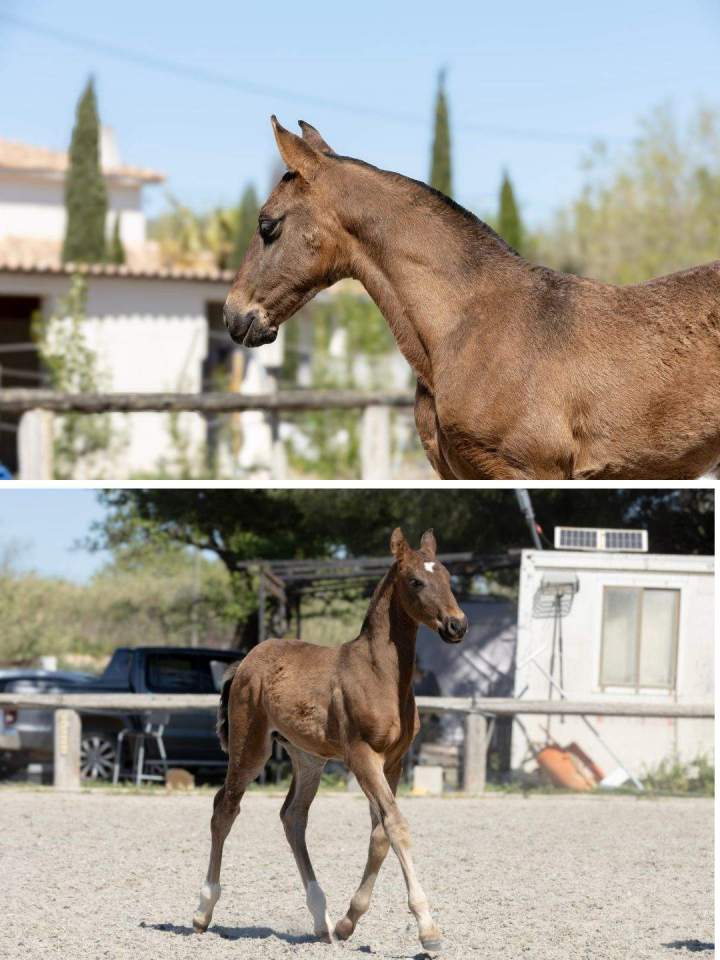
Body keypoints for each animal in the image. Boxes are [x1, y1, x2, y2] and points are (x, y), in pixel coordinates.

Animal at [192, 528, 468, 953]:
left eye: (448, 577)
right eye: (415, 581)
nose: (457, 625)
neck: (380, 674)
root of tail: (246, 661)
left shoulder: (393, 761)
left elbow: (380, 834)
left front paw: (347, 922)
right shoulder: (362, 756)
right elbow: (396, 825)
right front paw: (428, 929)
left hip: (308, 758)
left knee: (293, 816)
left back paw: (321, 920)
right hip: (250, 748)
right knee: (225, 808)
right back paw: (203, 911)